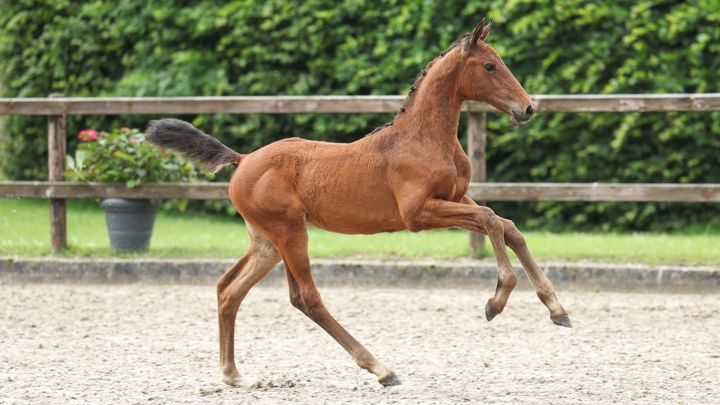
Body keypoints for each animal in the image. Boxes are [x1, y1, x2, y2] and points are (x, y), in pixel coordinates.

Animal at [146, 19, 572, 388]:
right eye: (490, 65)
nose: (527, 108)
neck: (424, 138)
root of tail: (243, 158)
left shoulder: (454, 198)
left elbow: (507, 226)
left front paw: (557, 309)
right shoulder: (418, 213)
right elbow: (490, 219)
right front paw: (497, 300)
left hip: (267, 241)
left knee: (228, 289)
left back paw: (233, 374)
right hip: (289, 231)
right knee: (306, 298)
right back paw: (382, 369)